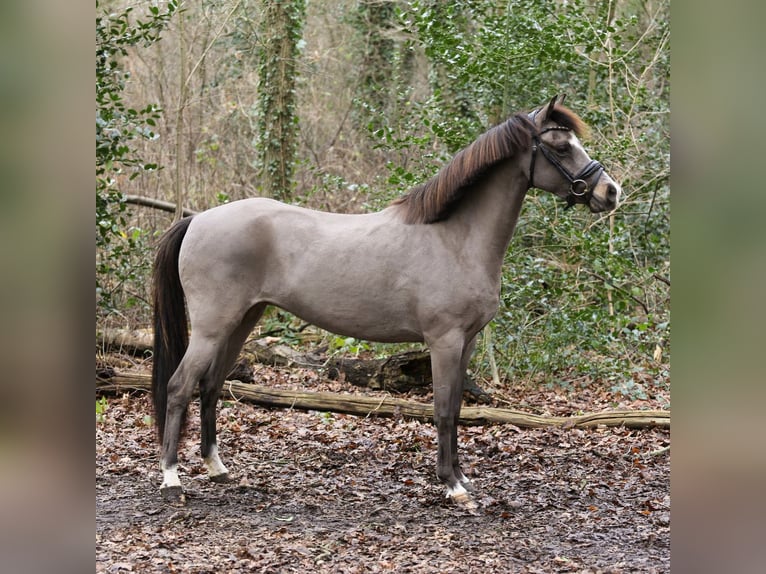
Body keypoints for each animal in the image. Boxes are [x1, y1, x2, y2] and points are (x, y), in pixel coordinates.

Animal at [152, 95, 624, 508]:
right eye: (561, 146)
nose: (611, 192)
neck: (456, 239)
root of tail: (198, 219)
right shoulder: (444, 341)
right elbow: (443, 410)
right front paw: (452, 486)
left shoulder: (467, 342)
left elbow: (457, 408)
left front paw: (461, 476)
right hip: (212, 326)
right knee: (179, 387)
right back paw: (172, 481)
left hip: (243, 320)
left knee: (211, 385)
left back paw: (217, 468)